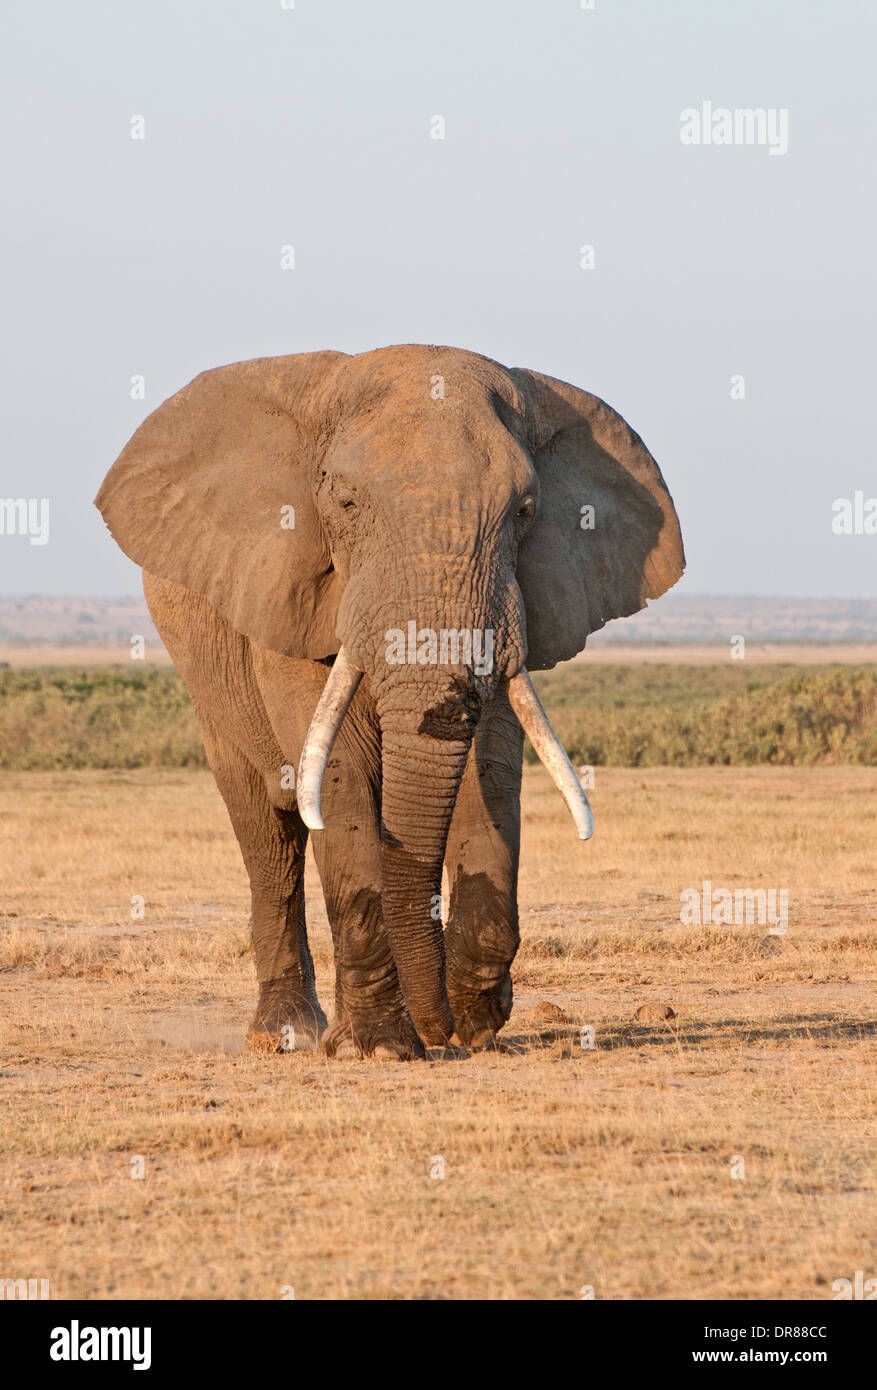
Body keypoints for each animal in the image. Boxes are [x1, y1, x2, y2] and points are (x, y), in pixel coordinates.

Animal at [95, 344, 686, 1050]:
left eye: (523, 511)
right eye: (346, 502)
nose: (443, 1030)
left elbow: (490, 766)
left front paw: (476, 1022)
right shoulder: (287, 586)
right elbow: (341, 774)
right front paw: (380, 1046)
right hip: (207, 678)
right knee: (268, 834)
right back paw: (288, 1033)